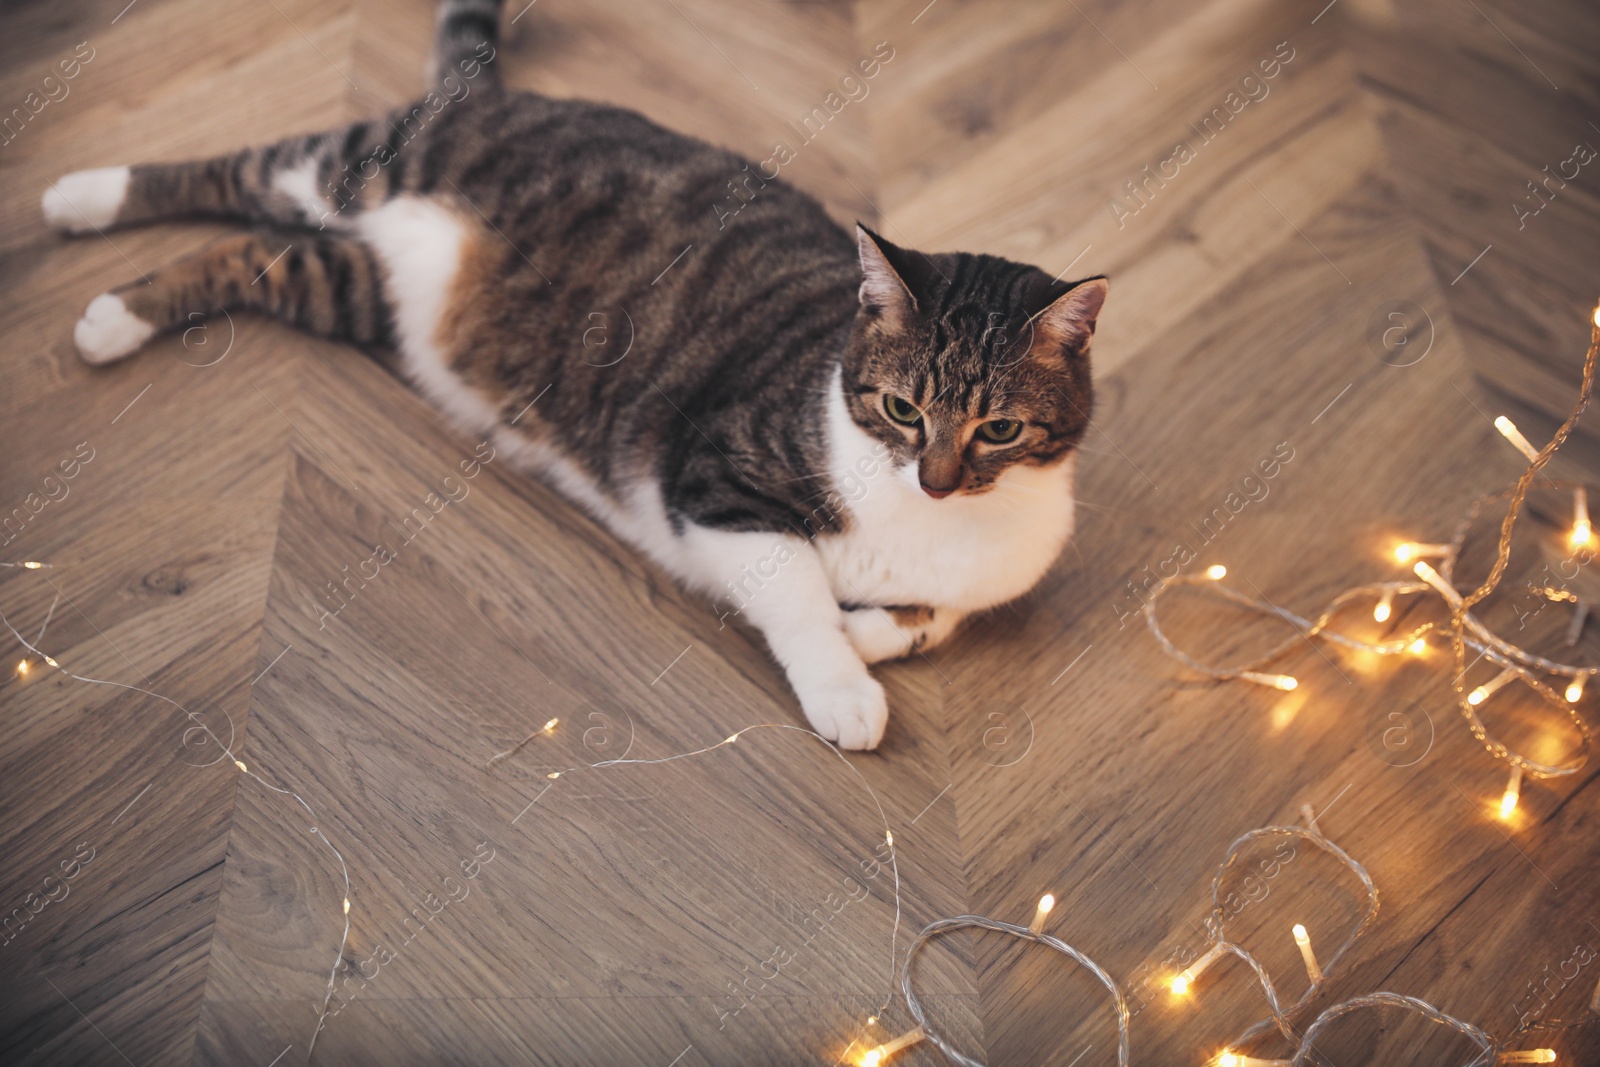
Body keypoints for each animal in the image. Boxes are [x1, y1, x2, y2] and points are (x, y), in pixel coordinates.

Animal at [43, 0, 1107, 751]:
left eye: (999, 429)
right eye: (901, 407)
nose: (936, 478)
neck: (924, 528)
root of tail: (490, 96)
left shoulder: (974, 582)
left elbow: (933, 621)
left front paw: (874, 630)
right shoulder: (715, 480)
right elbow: (801, 590)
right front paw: (845, 681)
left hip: (368, 285)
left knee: (252, 256)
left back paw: (117, 301)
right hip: (355, 170)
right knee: (230, 175)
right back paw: (82, 216)